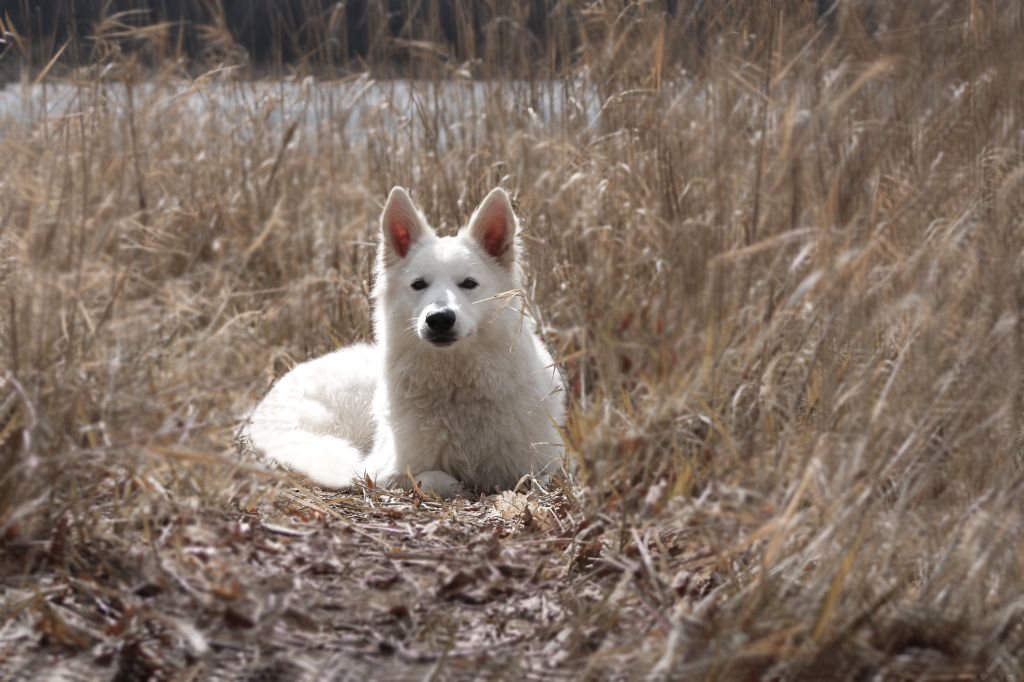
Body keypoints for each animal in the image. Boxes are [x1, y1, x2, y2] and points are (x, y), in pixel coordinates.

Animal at [248, 186, 569, 493]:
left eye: (468, 284)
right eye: (419, 284)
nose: (439, 319)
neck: (457, 391)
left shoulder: (537, 467)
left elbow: (531, 479)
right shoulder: (382, 470)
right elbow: (440, 480)